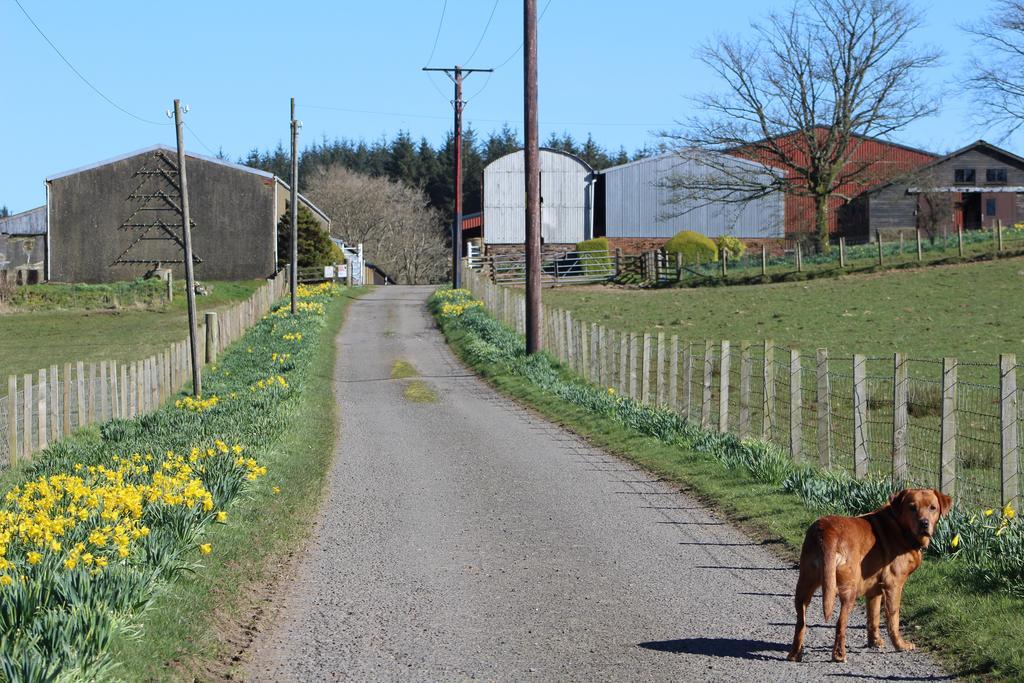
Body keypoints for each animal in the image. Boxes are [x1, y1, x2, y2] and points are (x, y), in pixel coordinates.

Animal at [790, 489, 950, 663]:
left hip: (804, 585)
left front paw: (875, 642)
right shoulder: (893, 585)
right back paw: (839, 655)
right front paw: (900, 645)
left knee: (800, 622)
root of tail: (825, 531)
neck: (900, 526)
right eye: (912, 507)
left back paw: (794, 654)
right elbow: (893, 619)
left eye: (933, 508)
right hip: (849, 589)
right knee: (840, 623)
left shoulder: (874, 590)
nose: (924, 523)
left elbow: (873, 617)